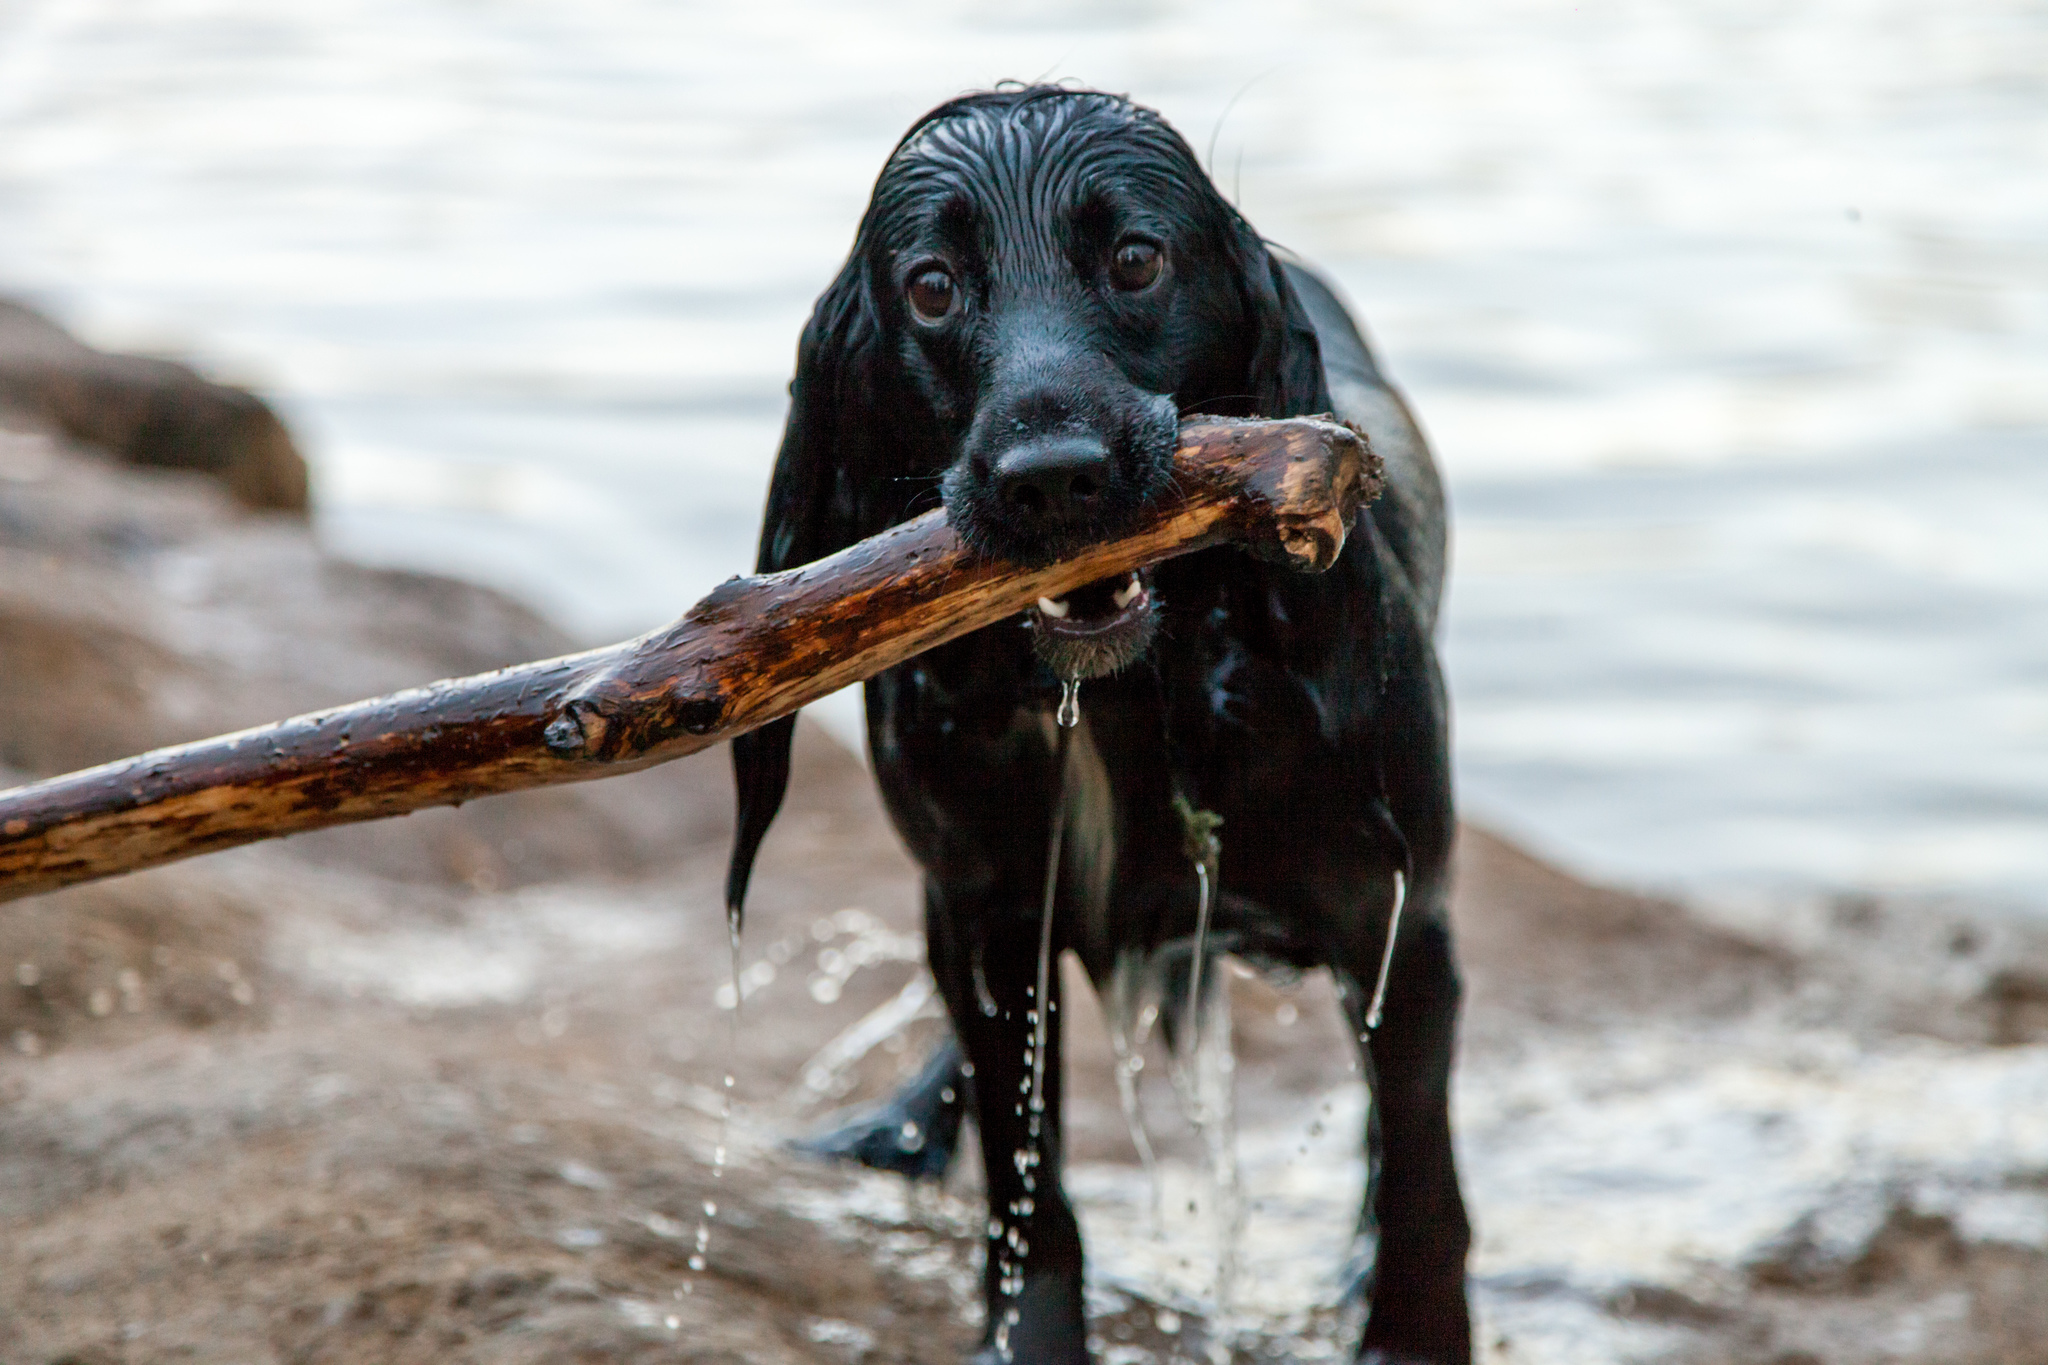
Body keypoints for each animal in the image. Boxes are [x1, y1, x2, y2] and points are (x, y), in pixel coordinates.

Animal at [729, 87, 1466, 1365]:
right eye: (930, 287)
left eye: (1134, 259)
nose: (1052, 476)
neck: (1126, 696)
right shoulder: (981, 911)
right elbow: (1029, 1184)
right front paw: (1028, 1334)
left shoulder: (1397, 923)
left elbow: (1421, 1181)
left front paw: (1410, 1330)